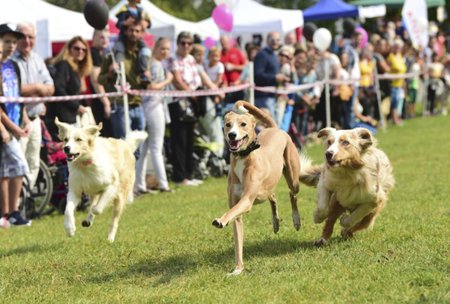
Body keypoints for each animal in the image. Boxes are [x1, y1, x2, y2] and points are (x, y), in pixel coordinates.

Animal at [212, 100, 300, 276]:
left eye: (243, 124)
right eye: (228, 125)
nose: (232, 135)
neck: (243, 156)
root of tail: (274, 128)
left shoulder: (246, 200)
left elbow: (231, 212)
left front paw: (220, 220)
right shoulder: (237, 206)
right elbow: (238, 239)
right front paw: (238, 269)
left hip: (293, 177)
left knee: (292, 194)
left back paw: (296, 220)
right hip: (266, 190)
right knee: (273, 197)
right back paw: (275, 223)